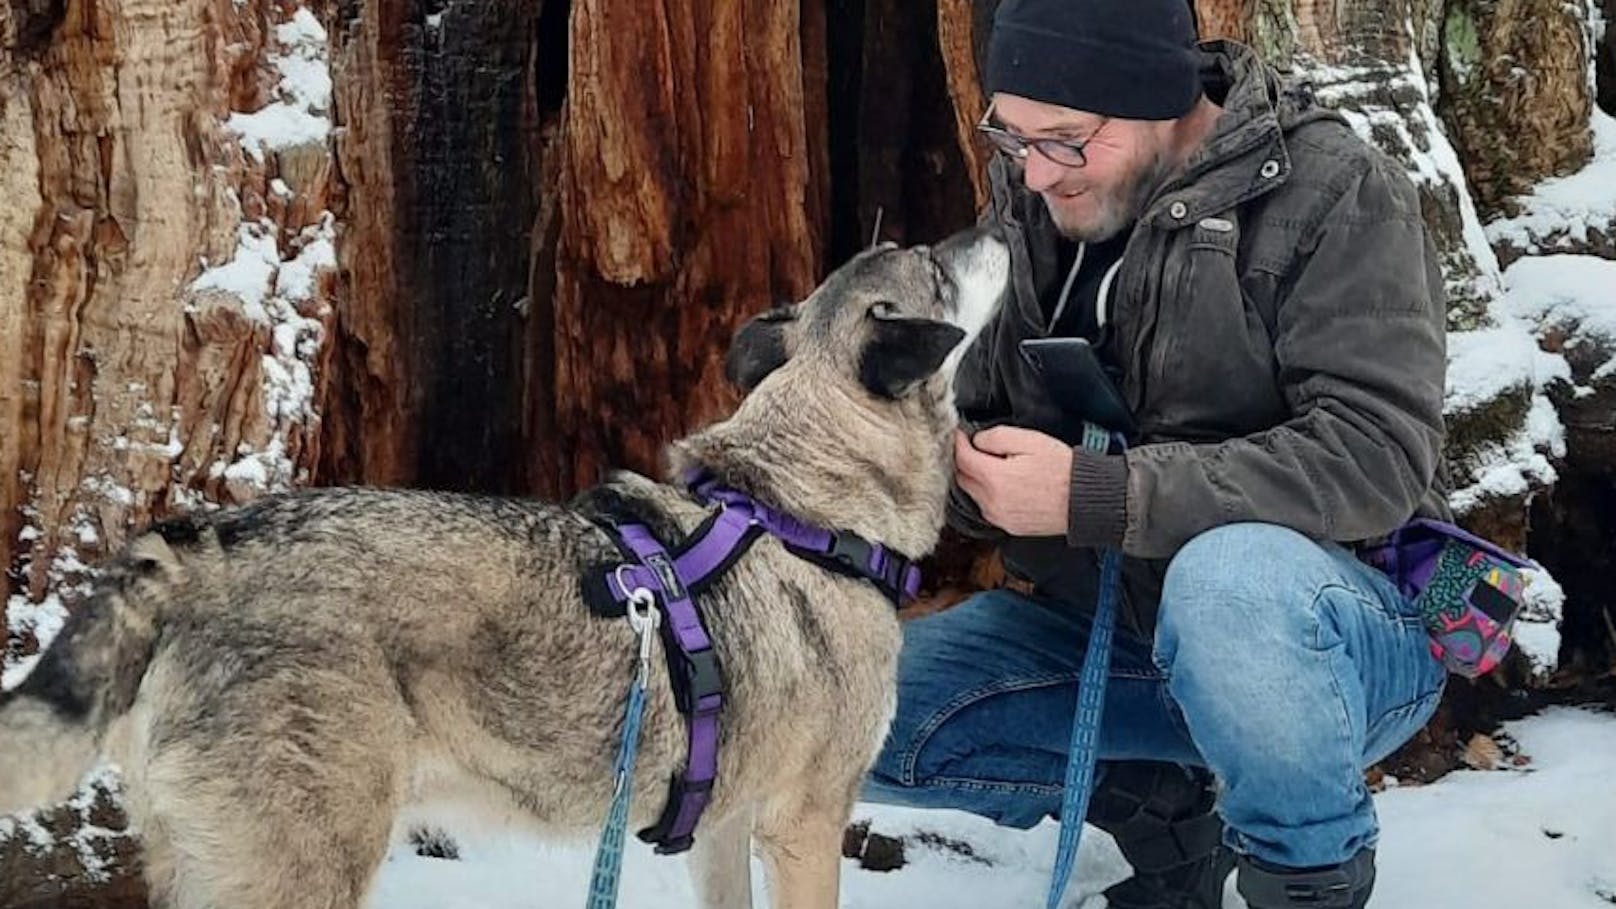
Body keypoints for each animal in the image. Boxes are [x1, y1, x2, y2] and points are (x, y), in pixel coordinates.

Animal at [0, 221, 1008, 905]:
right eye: (938, 265)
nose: (997, 223)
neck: (798, 510)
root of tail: (191, 553)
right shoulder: (804, 824)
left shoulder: (724, 826)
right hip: (305, 868)